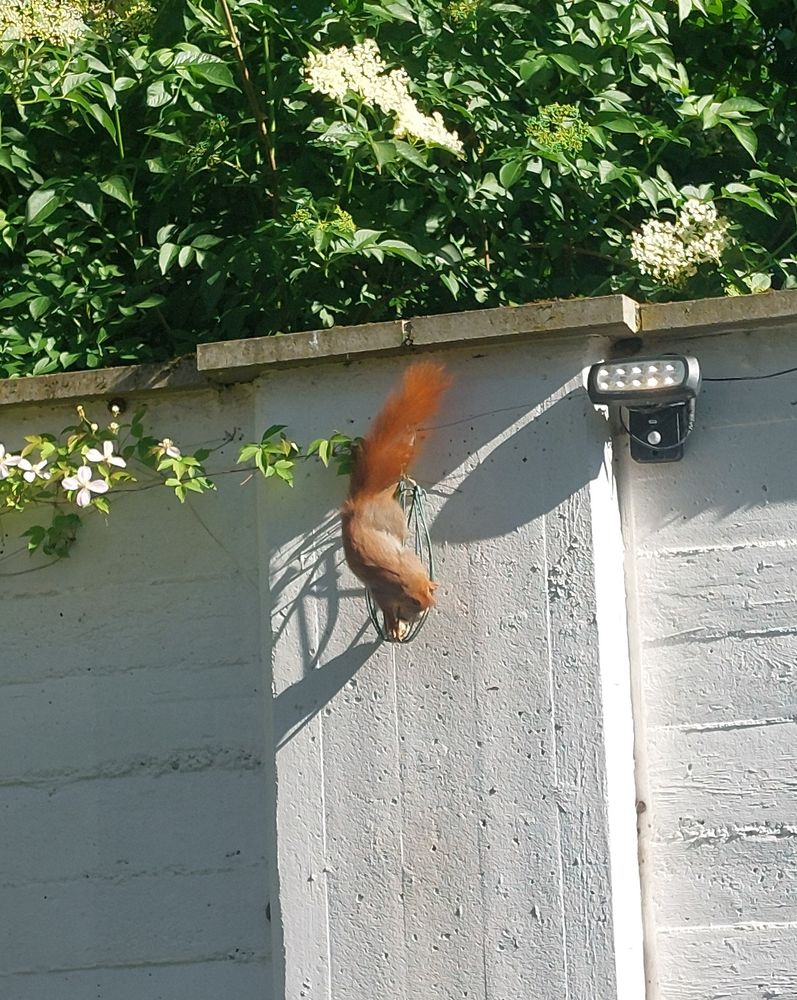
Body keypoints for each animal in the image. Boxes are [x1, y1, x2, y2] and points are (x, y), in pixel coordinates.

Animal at [341, 360, 451, 641]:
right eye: (416, 606)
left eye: (425, 600)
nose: (429, 606)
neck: (404, 578)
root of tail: (365, 498)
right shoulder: (382, 593)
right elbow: (388, 610)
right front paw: (393, 625)